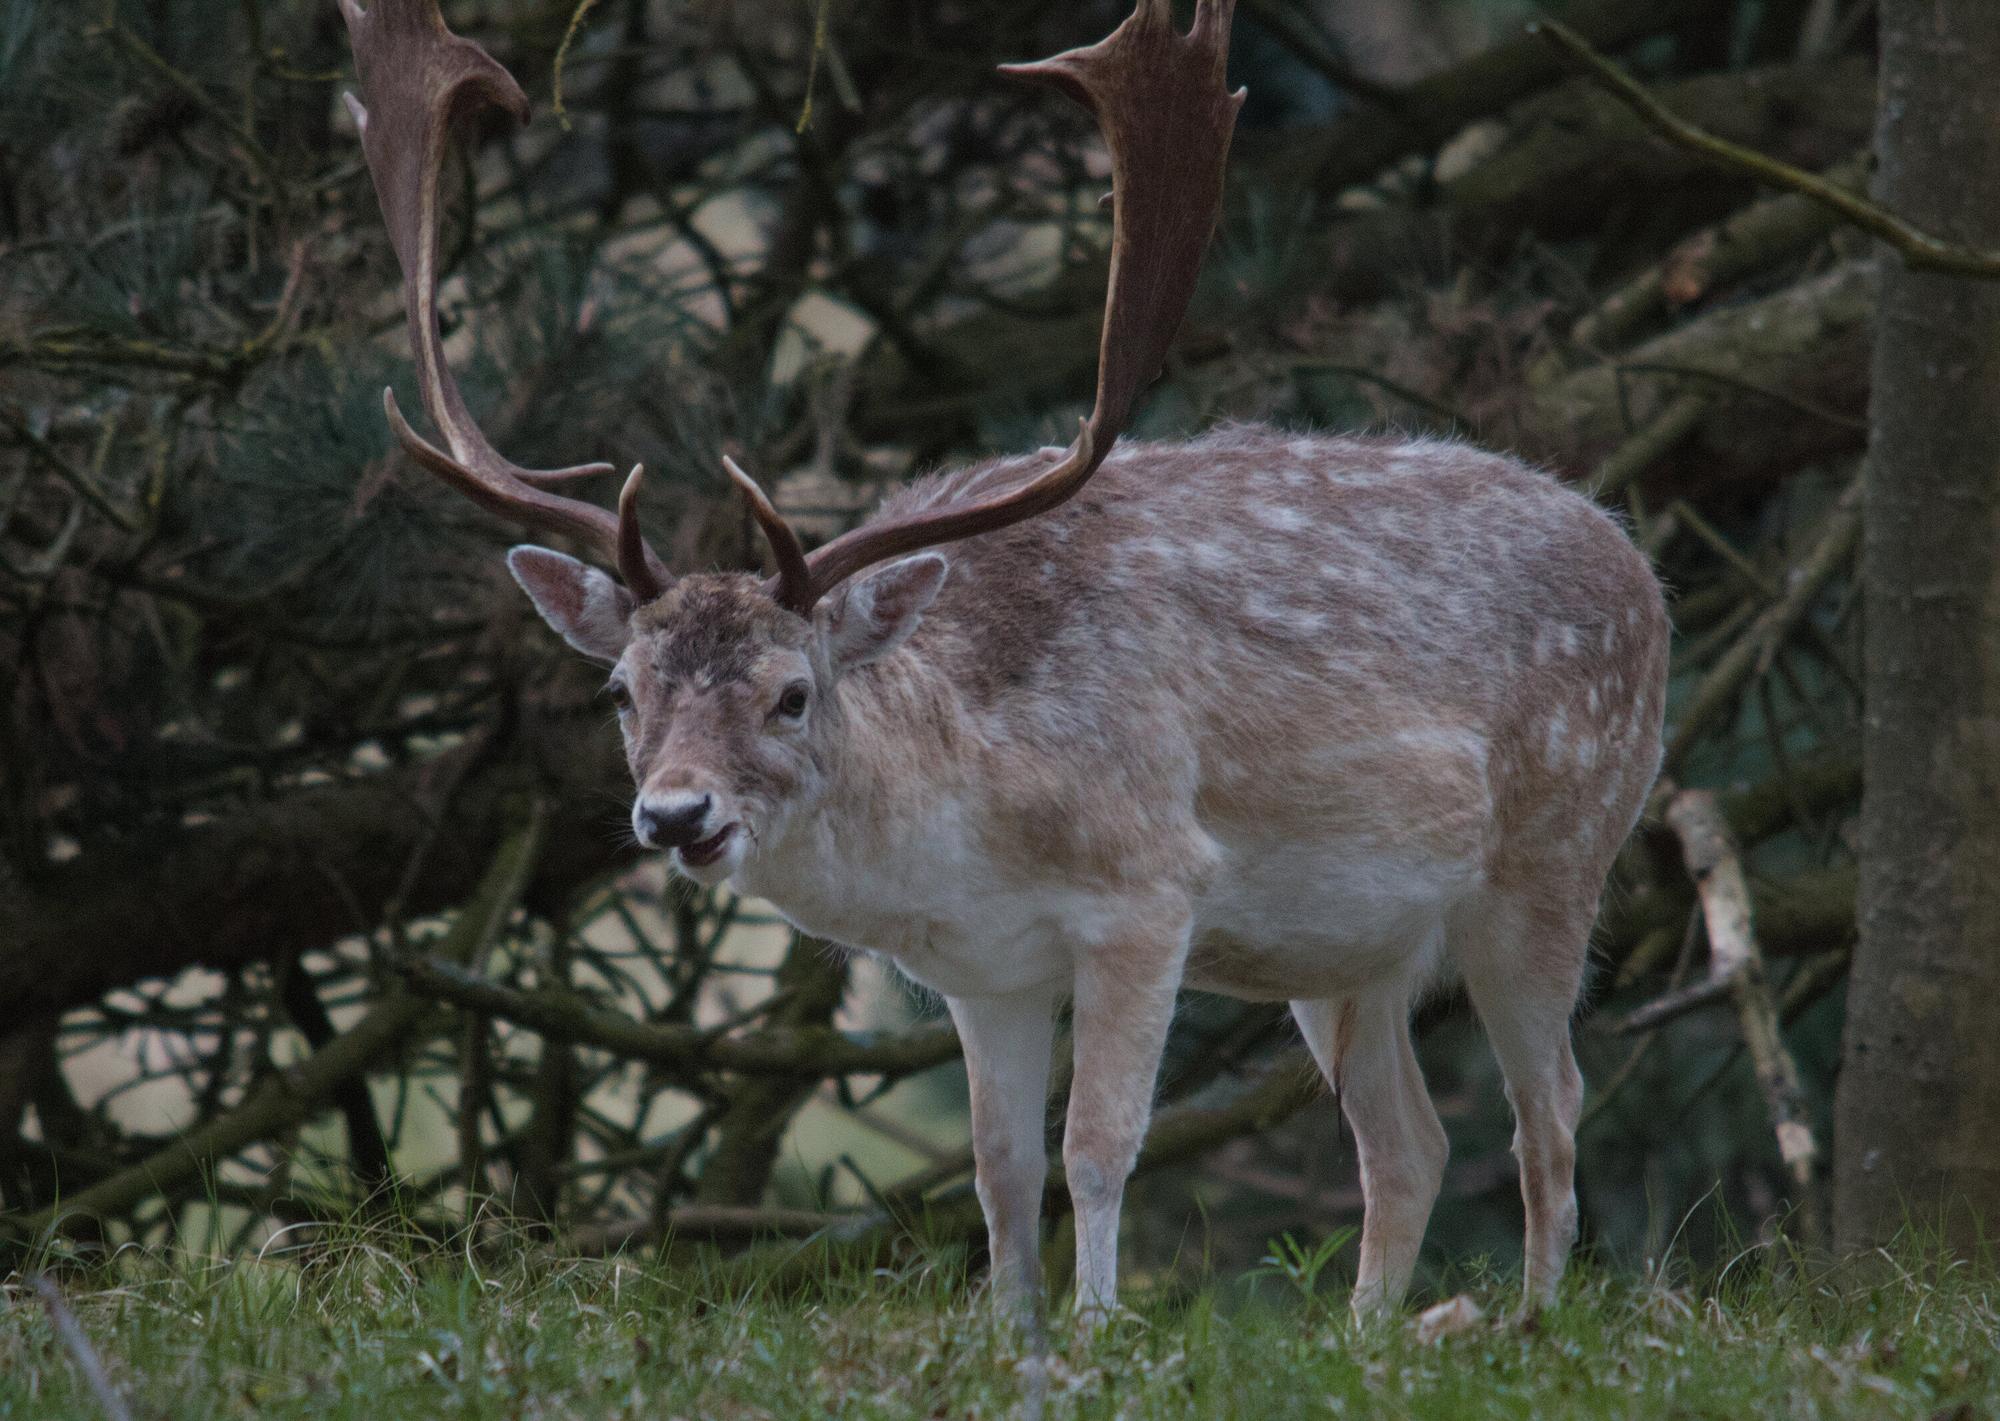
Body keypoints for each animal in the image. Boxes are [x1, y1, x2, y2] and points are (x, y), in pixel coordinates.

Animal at [340, 0, 1668, 1327]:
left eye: (792, 693)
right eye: (622, 690)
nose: (674, 813)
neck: (970, 821)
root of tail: (1640, 565)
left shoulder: (1148, 886)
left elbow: (1098, 1145)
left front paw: (1094, 1329)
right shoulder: (984, 972)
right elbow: (998, 1165)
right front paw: (1006, 1330)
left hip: (1557, 850)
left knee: (1550, 1106)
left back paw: (1530, 1315)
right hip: (1346, 950)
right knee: (1408, 1142)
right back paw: (1369, 1333)